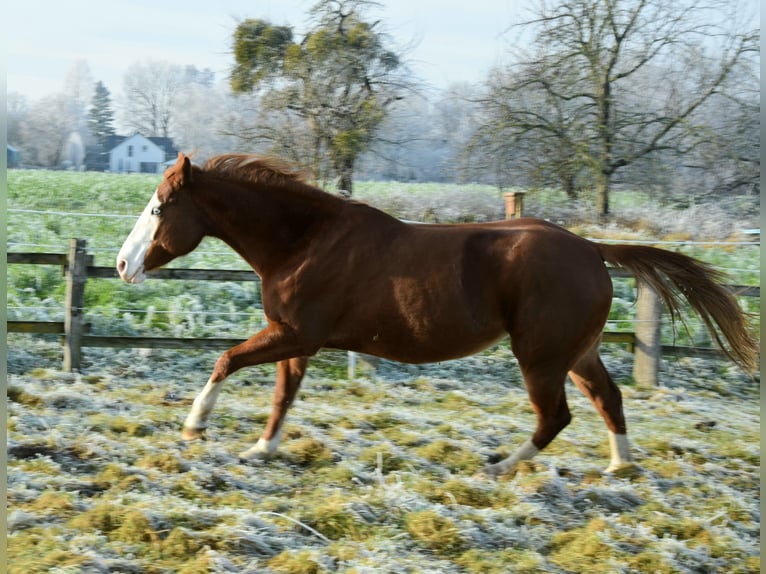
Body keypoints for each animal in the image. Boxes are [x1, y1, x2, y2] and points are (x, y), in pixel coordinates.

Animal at [116, 153, 758, 476]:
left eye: (160, 207)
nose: (123, 264)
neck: (303, 242)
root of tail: (593, 249)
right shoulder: (297, 340)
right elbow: (281, 397)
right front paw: (261, 451)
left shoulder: (294, 333)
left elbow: (225, 360)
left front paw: (195, 426)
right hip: (577, 352)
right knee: (608, 399)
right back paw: (620, 470)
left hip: (540, 357)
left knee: (555, 418)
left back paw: (500, 466)